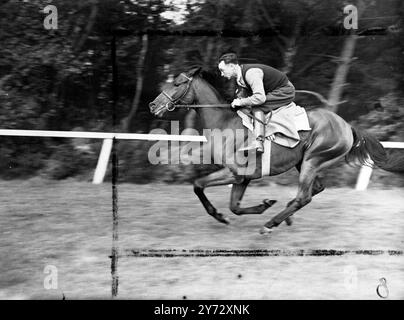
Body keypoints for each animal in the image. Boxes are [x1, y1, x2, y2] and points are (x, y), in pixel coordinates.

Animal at [149, 67, 404, 234]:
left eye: (177, 83)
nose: (153, 105)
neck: (224, 123)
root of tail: (347, 126)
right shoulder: (243, 177)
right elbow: (234, 206)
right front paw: (263, 205)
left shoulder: (234, 172)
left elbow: (198, 185)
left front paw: (220, 215)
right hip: (305, 162)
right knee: (314, 190)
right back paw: (284, 216)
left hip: (313, 159)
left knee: (304, 196)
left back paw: (270, 224)